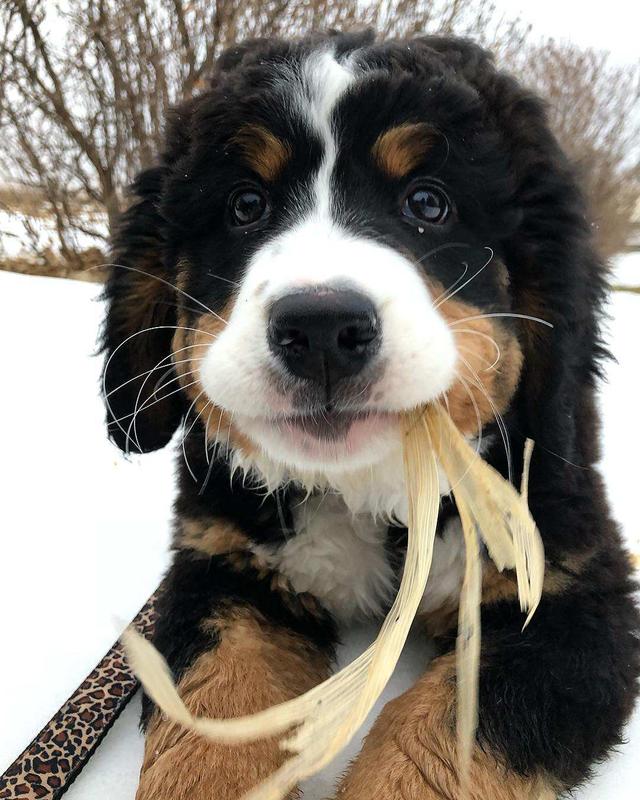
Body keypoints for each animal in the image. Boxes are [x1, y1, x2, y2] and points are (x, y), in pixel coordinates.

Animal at [101, 28, 640, 796]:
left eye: (428, 203)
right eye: (245, 205)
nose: (322, 327)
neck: (375, 494)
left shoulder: (568, 590)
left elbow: (444, 737)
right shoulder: (224, 567)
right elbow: (215, 709)